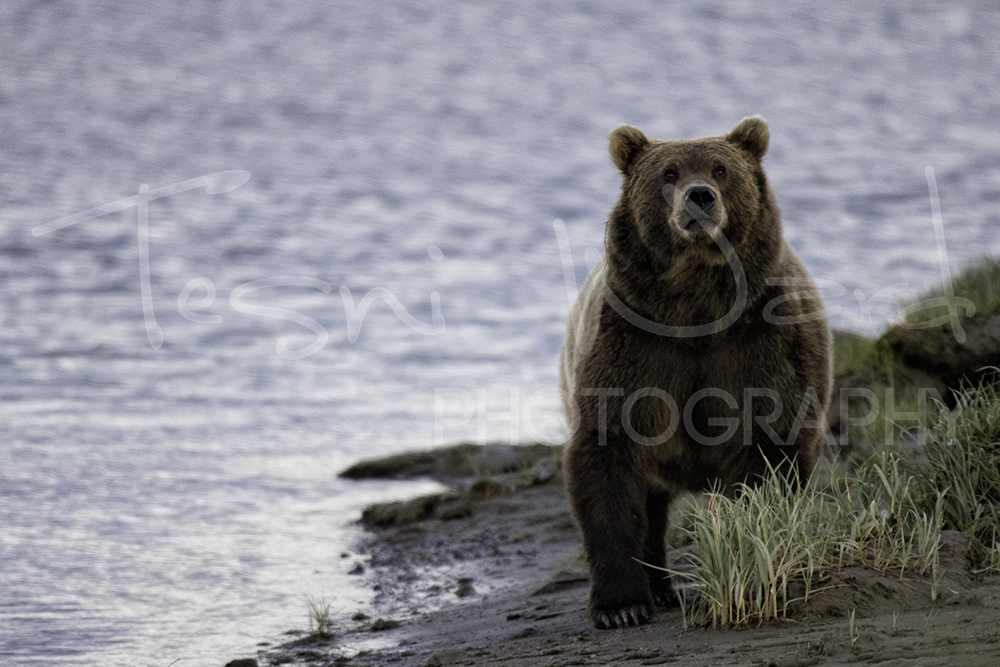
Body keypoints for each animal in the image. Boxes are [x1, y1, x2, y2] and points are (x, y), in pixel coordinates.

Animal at [559, 116, 832, 630]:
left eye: (721, 169)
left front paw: (755, 557)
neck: (697, 303)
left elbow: (773, 446)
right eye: (668, 173)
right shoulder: (633, 346)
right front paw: (620, 605)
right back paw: (659, 587)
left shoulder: (766, 342)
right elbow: (606, 455)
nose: (699, 196)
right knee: (649, 501)